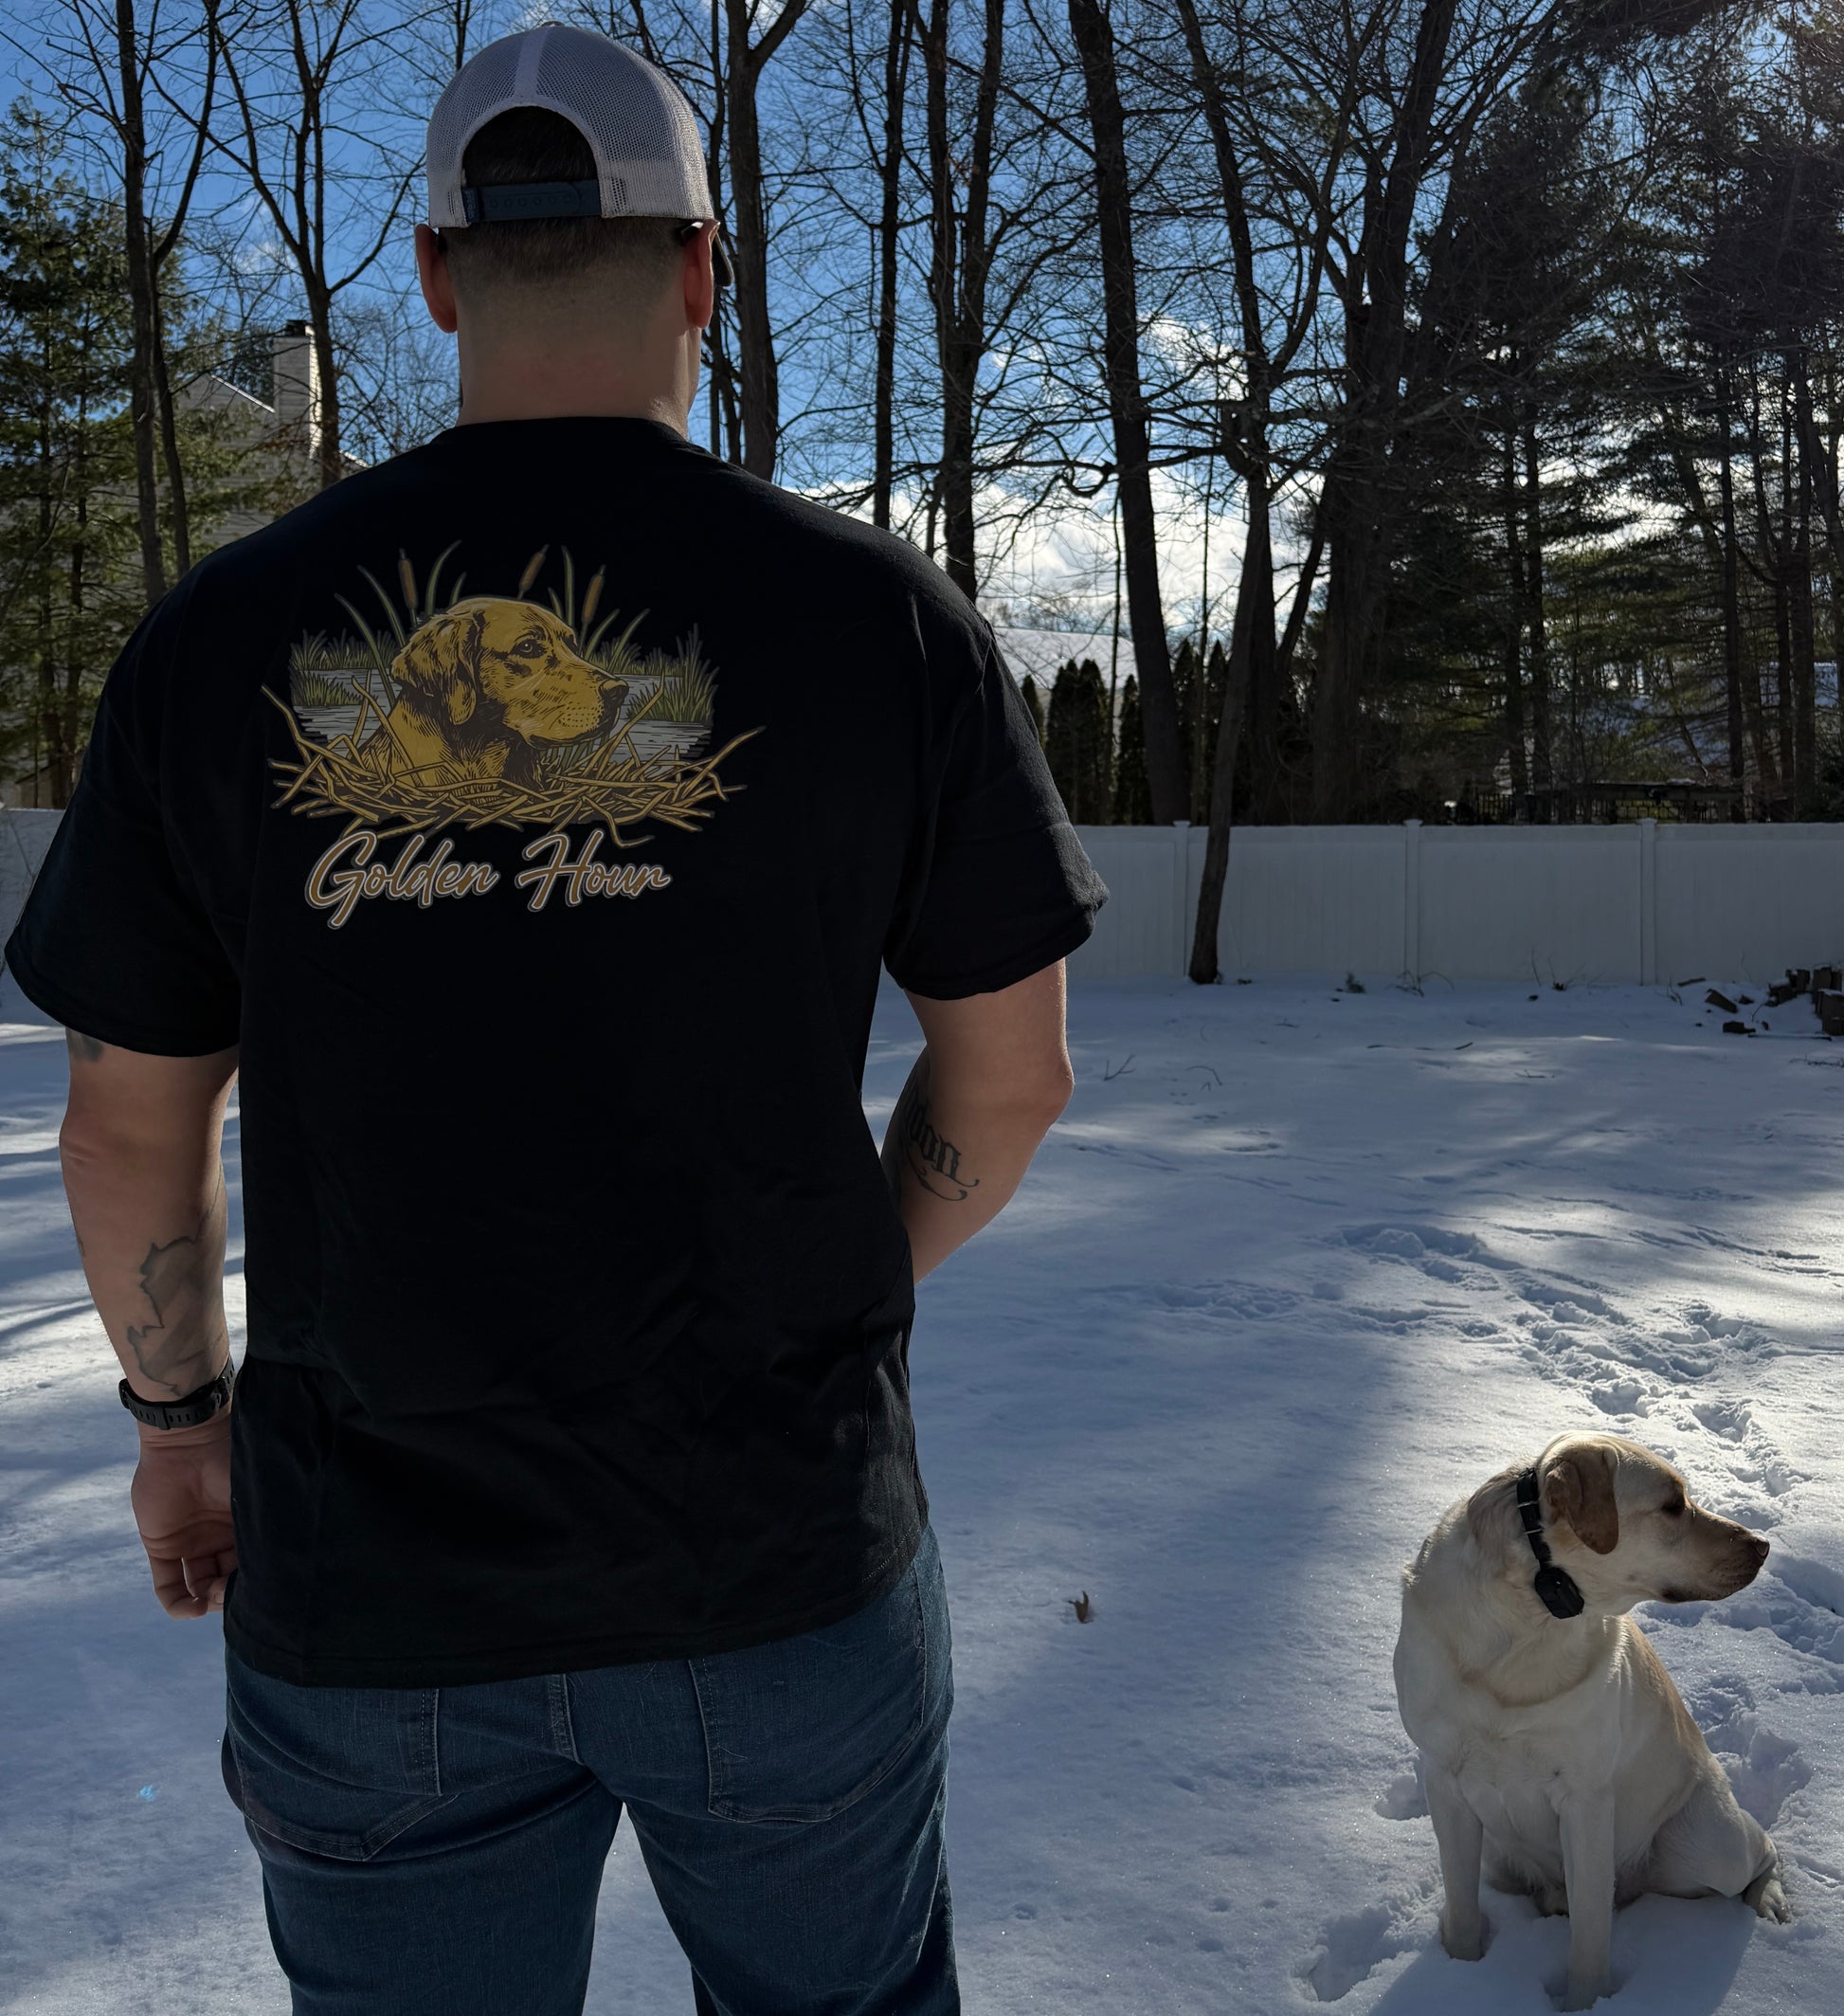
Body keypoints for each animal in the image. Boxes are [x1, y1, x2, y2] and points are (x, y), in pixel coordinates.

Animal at [1393, 1432, 1787, 2011]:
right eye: (1672, 1505)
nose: (1762, 1545)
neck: (1531, 1614)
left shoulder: (1586, 1798)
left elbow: (1591, 1933)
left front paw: (1583, 2002)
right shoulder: (1444, 1781)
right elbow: (1462, 1905)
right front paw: (1459, 1977)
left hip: (1710, 1844)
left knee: (1761, 1851)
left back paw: (1769, 1900)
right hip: (1501, 1857)